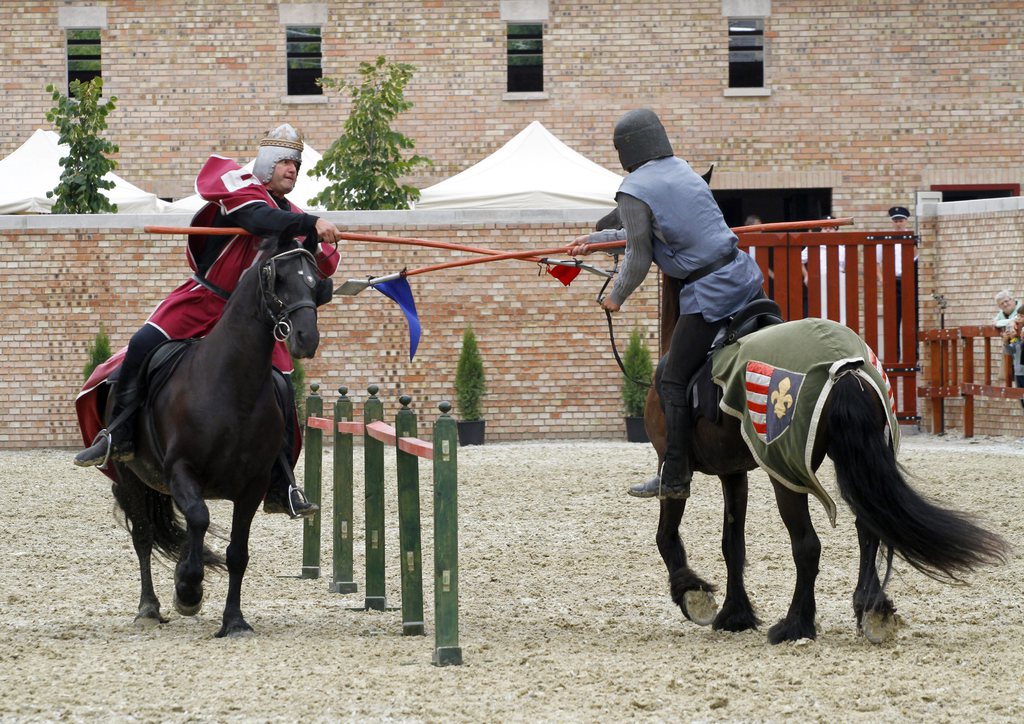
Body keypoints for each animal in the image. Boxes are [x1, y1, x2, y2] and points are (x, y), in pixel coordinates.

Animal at [99, 236, 323, 634]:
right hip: (132, 477)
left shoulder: (253, 486)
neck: (232, 388)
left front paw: (233, 620)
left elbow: (237, 552)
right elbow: (200, 519)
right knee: (143, 535)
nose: (306, 337)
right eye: (277, 278)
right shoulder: (181, 471)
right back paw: (149, 606)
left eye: (315, 281)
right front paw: (188, 588)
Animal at [643, 278, 1003, 647]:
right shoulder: (733, 472)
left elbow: (666, 535)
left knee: (807, 545)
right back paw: (872, 610)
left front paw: (693, 595)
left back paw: (795, 624)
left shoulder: (670, 464)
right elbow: (732, 543)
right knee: (868, 529)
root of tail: (844, 369)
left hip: (786, 474)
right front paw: (736, 613)